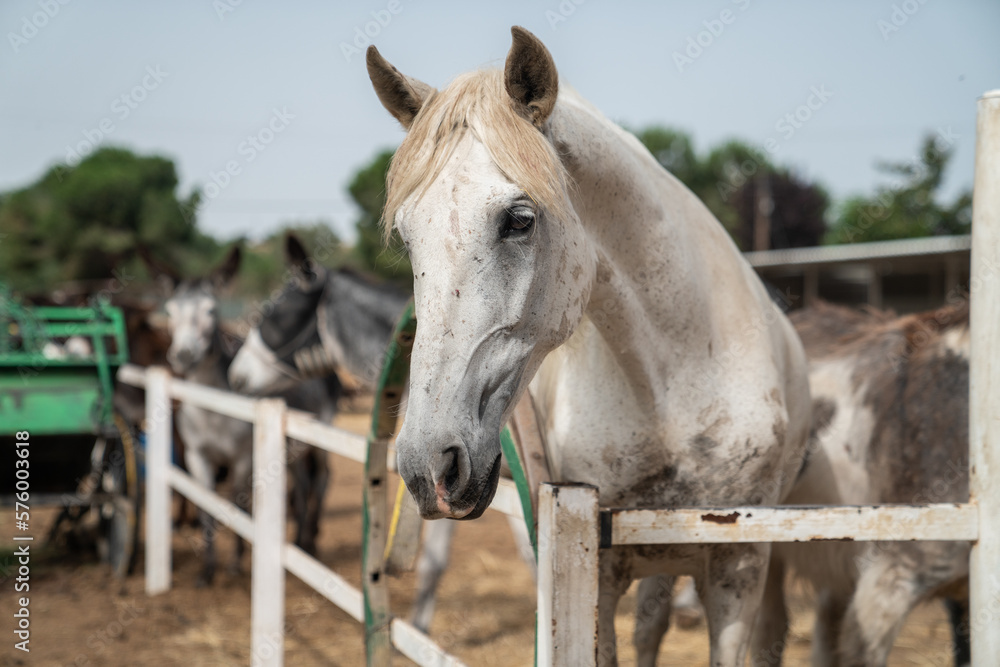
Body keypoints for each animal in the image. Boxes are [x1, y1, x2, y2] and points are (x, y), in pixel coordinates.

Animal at [150, 246, 338, 584]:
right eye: (169, 311)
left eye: (211, 310)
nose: (183, 356)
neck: (214, 409)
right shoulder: (197, 457)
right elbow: (206, 506)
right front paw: (207, 570)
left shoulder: (243, 459)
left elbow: (238, 503)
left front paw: (236, 563)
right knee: (303, 485)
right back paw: (300, 540)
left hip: (318, 439)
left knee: (321, 480)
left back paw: (310, 541)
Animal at [365, 26, 812, 665]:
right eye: (406, 237)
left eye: (519, 220)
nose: (428, 462)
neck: (675, 382)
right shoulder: (599, 569)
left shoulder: (739, 569)